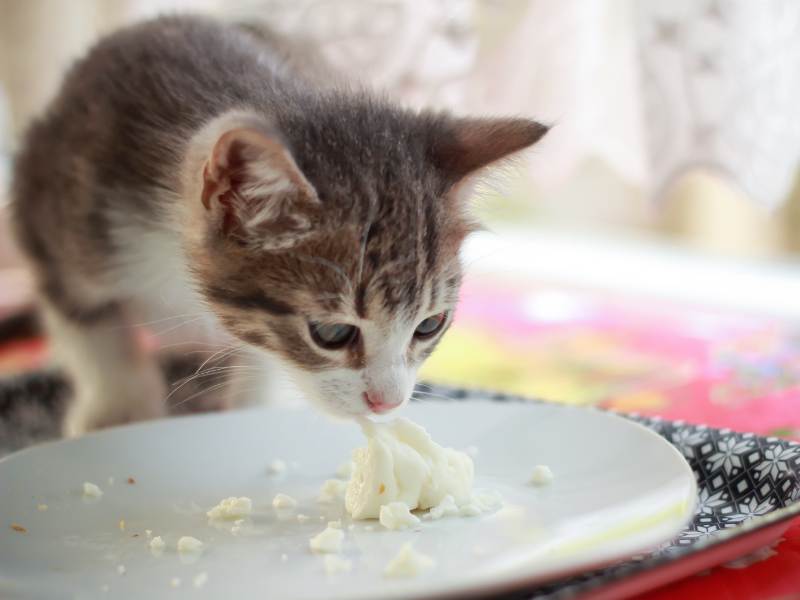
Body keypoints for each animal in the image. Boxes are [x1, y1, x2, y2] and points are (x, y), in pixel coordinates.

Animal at [9, 14, 548, 436]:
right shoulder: (56, 211)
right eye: (332, 333)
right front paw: (118, 411)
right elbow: (92, 329)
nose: (387, 403)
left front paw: (249, 416)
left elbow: (260, 361)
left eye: (429, 325)